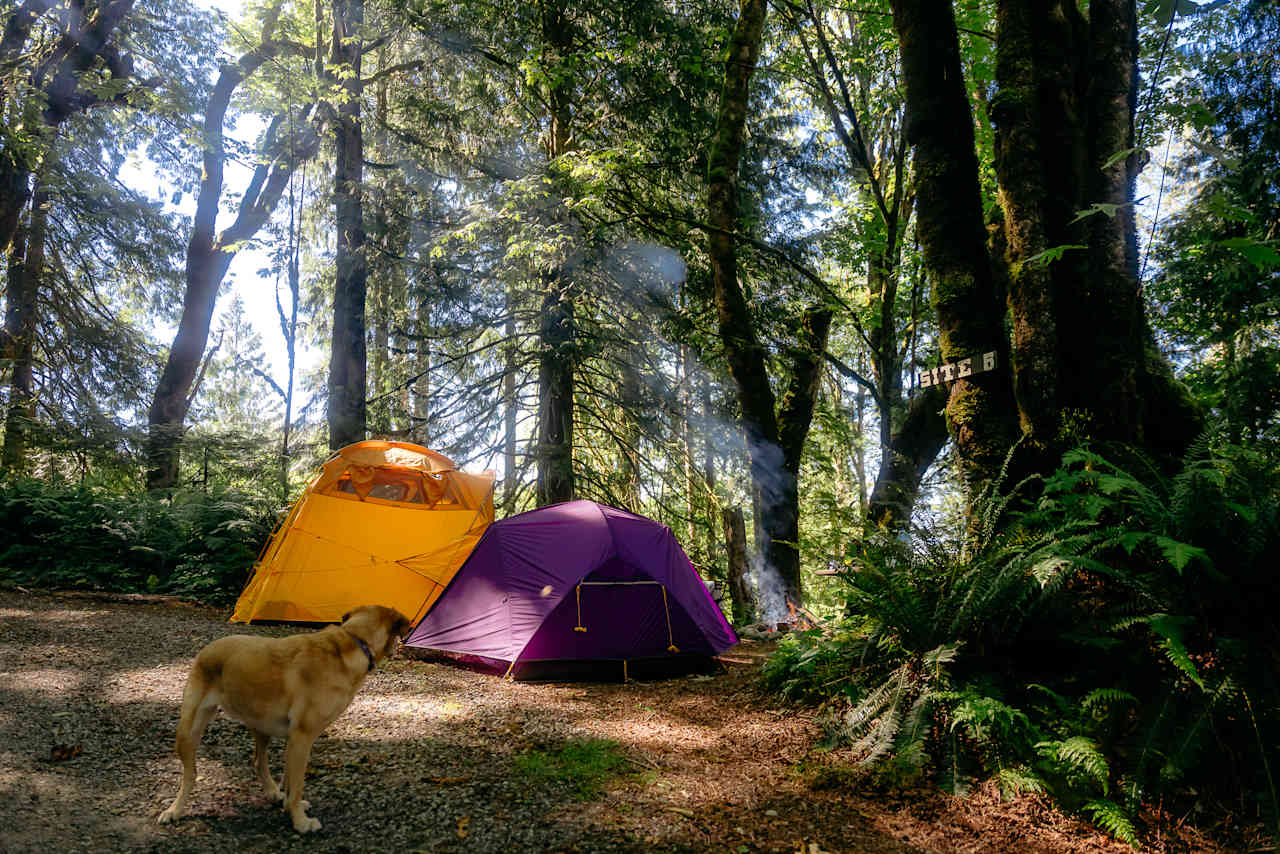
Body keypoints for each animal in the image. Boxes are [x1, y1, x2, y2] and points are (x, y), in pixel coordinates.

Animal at [156, 604, 409, 829]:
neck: (356, 642)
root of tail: (207, 649)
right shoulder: (302, 738)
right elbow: (296, 786)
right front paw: (300, 822)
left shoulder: (293, 741)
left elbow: (289, 783)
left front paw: (288, 805)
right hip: (189, 732)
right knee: (190, 775)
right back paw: (174, 810)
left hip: (261, 728)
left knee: (258, 762)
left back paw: (273, 793)